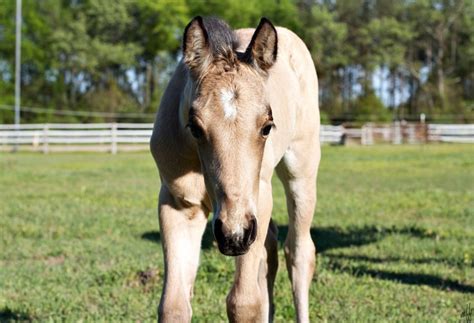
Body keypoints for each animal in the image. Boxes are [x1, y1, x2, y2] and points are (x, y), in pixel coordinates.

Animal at [151, 16, 322, 322]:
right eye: (195, 127)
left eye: (267, 126)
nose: (234, 235)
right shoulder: (179, 205)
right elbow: (173, 305)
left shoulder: (256, 204)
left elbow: (243, 303)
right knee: (270, 249)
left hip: (300, 173)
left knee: (299, 253)